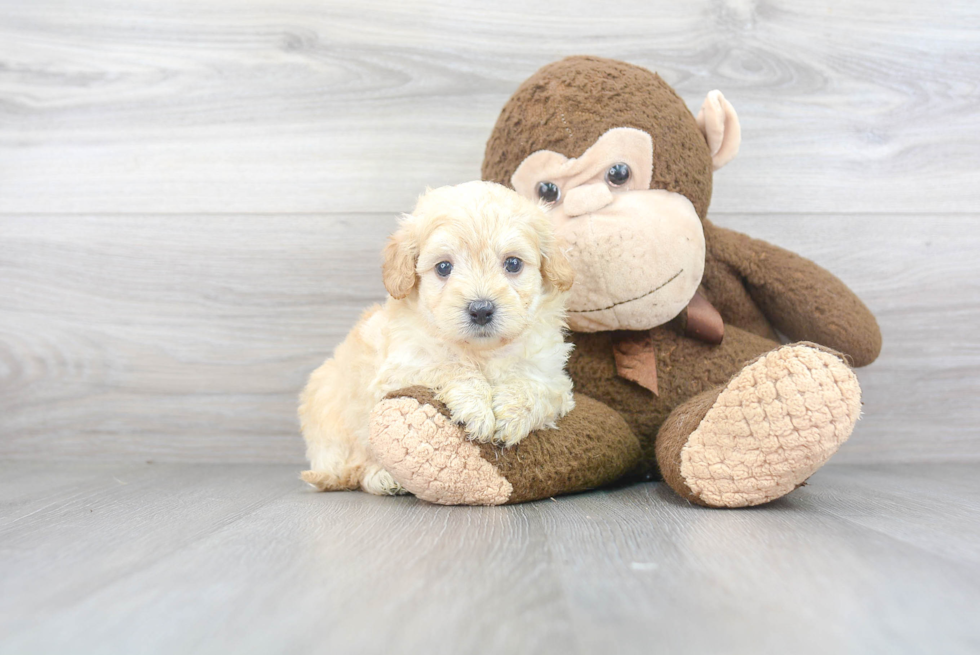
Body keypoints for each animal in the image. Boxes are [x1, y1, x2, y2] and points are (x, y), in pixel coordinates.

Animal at [298, 182, 576, 494]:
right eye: (444, 267)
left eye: (513, 263)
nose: (481, 310)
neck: (482, 352)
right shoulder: (402, 366)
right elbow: (450, 366)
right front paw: (477, 408)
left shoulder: (552, 376)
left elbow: (537, 387)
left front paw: (512, 414)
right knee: (354, 468)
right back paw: (383, 477)